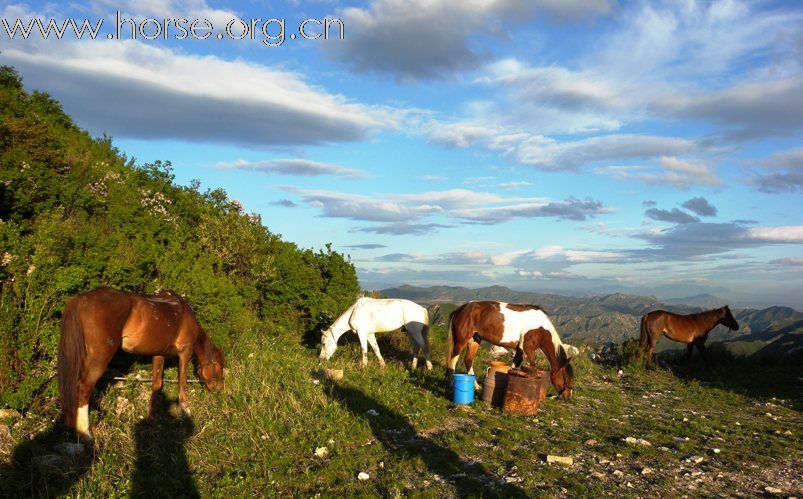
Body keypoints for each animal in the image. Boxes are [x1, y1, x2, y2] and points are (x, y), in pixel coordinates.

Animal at [58, 288, 225, 440]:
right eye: (220, 367)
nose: (220, 389)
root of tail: (81, 299)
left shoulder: (159, 355)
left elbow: (156, 385)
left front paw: (151, 419)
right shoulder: (185, 351)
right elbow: (182, 381)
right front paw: (186, 410)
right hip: (99, 357)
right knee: (83, 388)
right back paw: (85, 433)